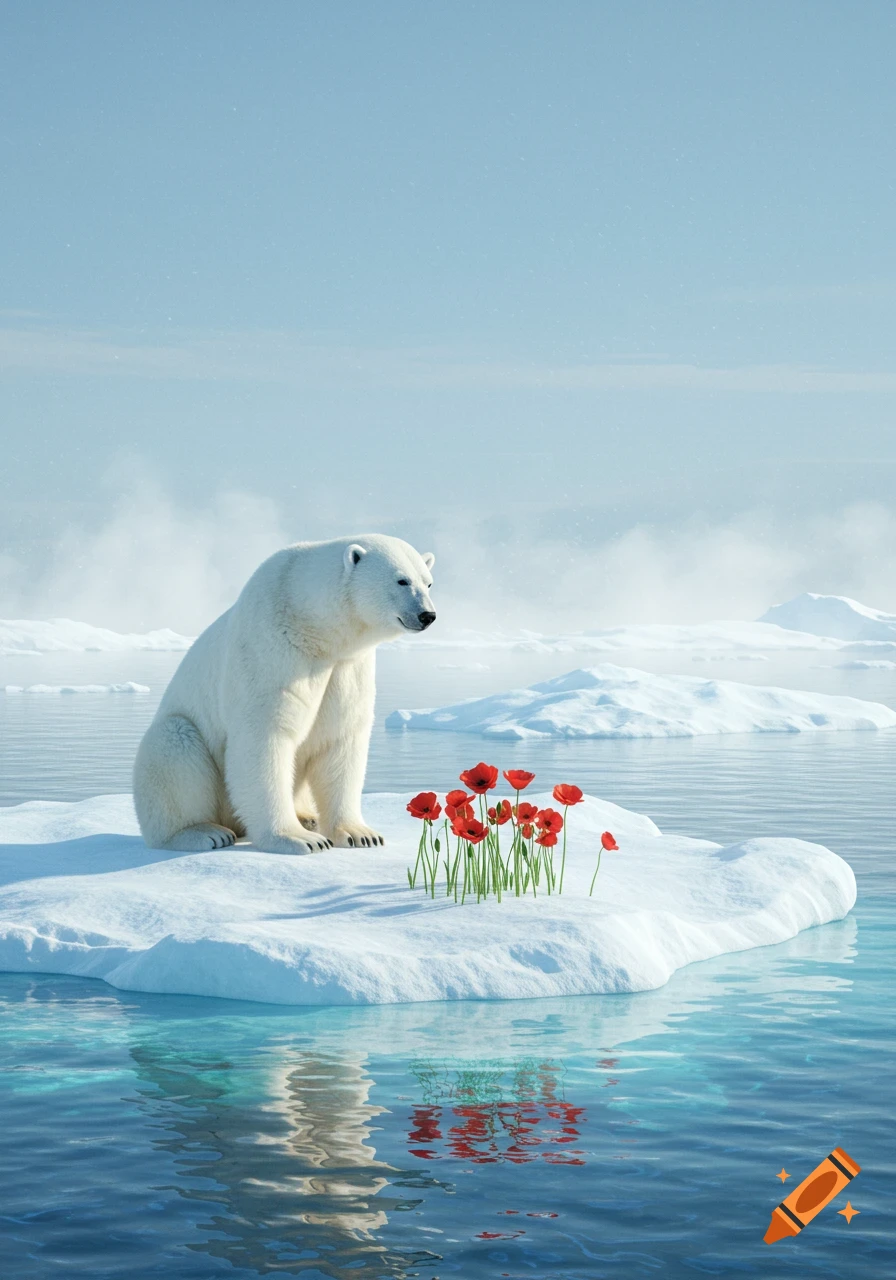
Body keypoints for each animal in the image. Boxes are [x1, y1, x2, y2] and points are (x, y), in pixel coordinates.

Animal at [133, 533, 436, 854]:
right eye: (401, 580)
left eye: (428, 582)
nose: (427, 615)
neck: (311, 623)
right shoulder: (272, 649)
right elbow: (266, 737)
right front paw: (298, 839)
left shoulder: (346, 667)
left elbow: (340, 739)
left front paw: (361, 834)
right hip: (179, 742)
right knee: (174, 746)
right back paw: (204, 832)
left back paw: (307, 817)